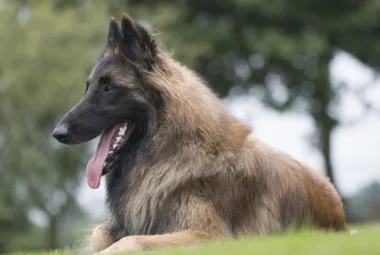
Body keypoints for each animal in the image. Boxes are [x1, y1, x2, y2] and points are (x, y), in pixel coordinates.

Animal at [53, 14, 348, 255]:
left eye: (108, 88)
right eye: (88, 87)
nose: (58, 133)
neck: (169, 151)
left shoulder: (210, 236)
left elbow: (131, 241)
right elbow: (99, 234)